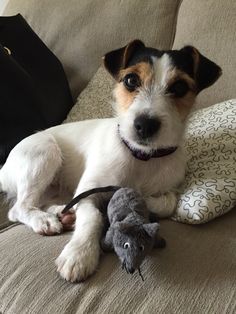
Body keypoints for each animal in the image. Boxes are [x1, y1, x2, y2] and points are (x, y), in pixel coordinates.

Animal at [0, 39, 221, 282]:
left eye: (180, 87)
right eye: (131, 80)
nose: (145, 125)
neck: (141, 157)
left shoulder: (170, 186)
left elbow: (168, 202)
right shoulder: (88, 190)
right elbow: (93, 217)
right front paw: (80, 254)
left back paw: (61, 213)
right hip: (44, 152)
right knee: (18, 208)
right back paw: (44, 220)